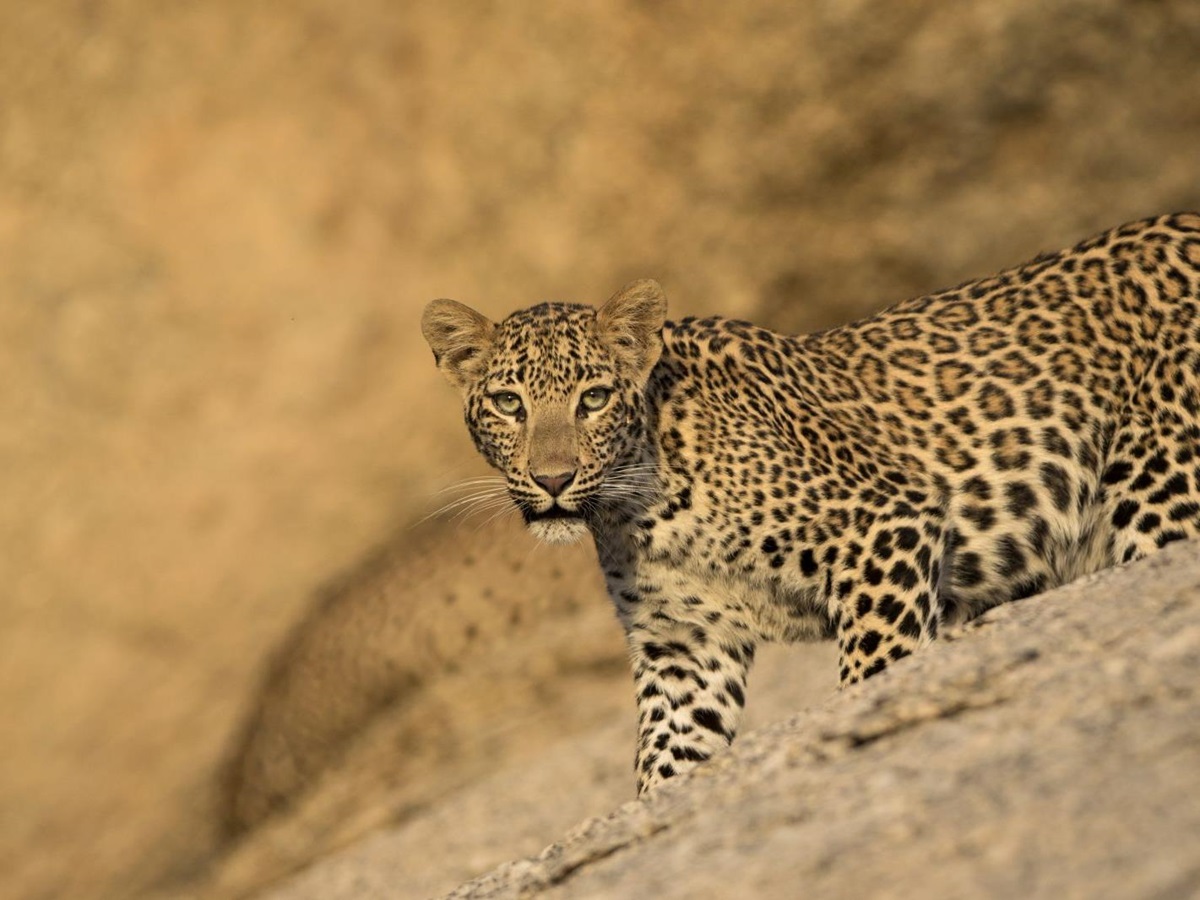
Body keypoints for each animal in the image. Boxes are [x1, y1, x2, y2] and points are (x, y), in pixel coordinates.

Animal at [422, 213, 1200, 796]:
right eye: (509, 404)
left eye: (592, 398)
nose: (552, 479)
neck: (635, 507)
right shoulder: (681, 646)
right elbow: (665, 763)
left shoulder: (887, 526)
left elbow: (874, 669)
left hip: (1159, 483)